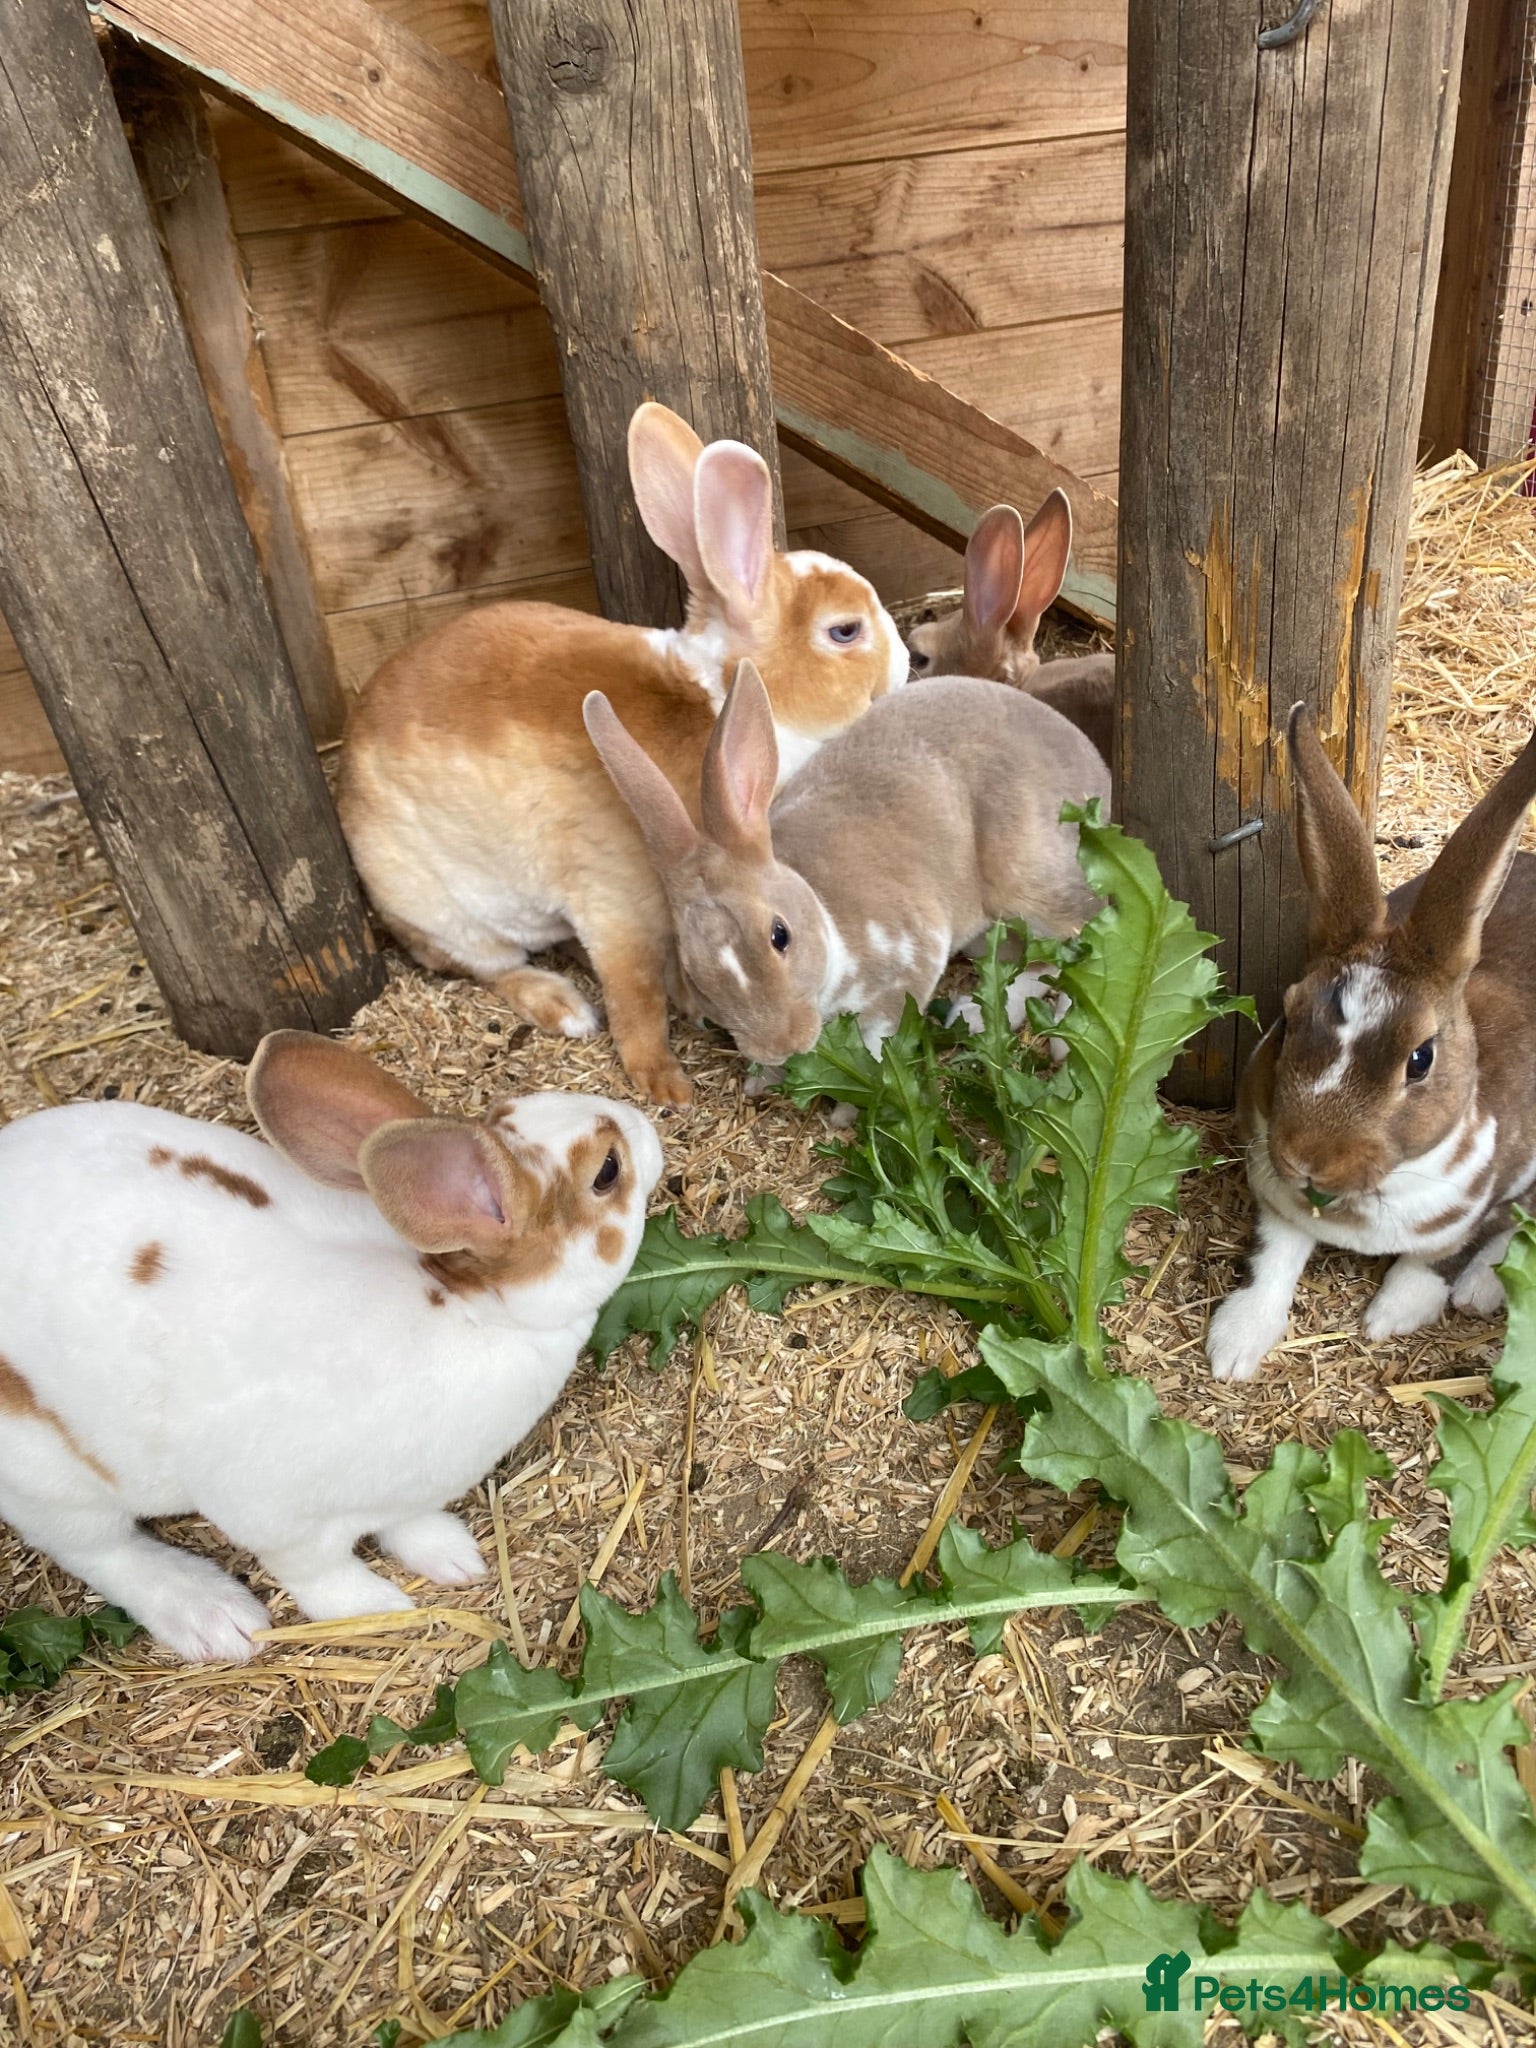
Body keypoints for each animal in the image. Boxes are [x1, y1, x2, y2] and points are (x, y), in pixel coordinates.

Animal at [0, 1032, 664, 1663]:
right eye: (608, 1170)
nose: (648, 1126)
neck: (472, 1312)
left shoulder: (409, 1492)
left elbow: (410, 1523)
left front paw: (453, 1557)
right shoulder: (272, 1513)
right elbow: (315, 1572)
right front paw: (379, 1606)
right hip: (53, 1484)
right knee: (99, 1551)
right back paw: (214, 1616)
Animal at [339, 402, 908, 1108]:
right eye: (845, 631)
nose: (906, 667)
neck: (718, 697)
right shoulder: (614, 901)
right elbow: (634, 993)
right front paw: (664, 1082)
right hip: (444, 912)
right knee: (489, 967)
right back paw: (565, 1008)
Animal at [582, 662, 1109, 1073]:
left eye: (779, 935)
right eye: (693, 976)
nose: (781, 1047)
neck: (826, 920)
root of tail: (1092, 762)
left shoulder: (909, 963)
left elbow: (878, 1047)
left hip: (1027, 883)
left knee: (1081, 936)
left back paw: (1066, 1040)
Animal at [1206, 704, 1536, 1383]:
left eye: (1421, 1059)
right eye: (1286, 1019)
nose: (1308, 1156)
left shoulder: (1498, 1189)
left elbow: (1441, 1256)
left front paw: (1391, 1318)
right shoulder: (1276, 1205)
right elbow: (1269, 1263)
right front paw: (1233, 1348)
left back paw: (1479, 1291)